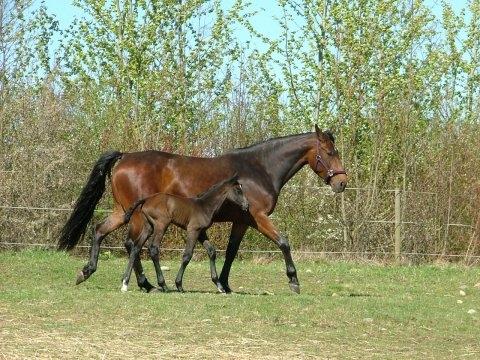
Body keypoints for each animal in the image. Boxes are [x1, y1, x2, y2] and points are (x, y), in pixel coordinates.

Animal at [58, 125, 346, 294]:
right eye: (330, 152)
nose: (342, 182)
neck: (259, 169)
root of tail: (125, 157)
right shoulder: (258, 217)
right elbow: (283, 242)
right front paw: (293, 280)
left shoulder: (242, 222)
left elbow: (230, 252)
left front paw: (224, 284)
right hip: (137, 214)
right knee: (132, 245)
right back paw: (145, 284)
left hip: (124, 211)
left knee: (102, 231)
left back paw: (89, 272)